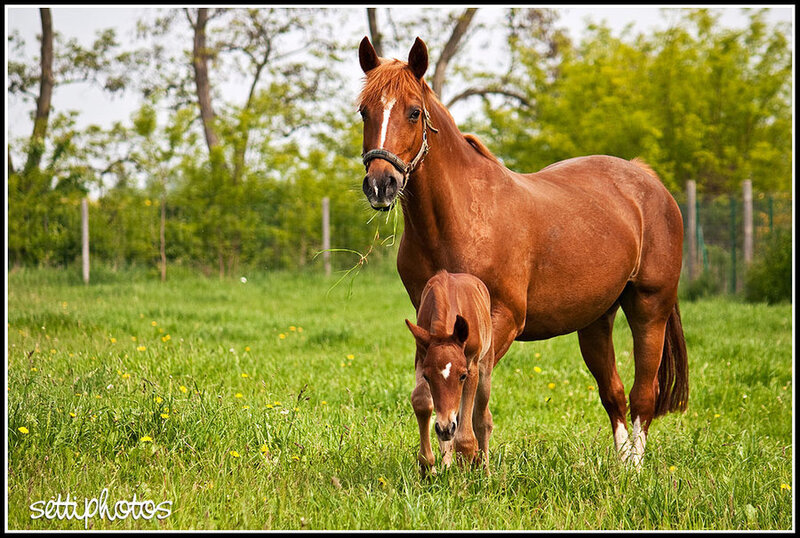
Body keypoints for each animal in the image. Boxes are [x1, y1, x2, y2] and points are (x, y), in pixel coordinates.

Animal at [405, 270, 493, 475]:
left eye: (462, 376)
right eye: (427, 377)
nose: (445, 428)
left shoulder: (471, 365)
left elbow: (466, 436)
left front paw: (463, 477)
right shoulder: (421, 358)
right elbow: (421, 401)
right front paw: (428, 467)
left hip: (486, 365)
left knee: (482, 419)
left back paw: (486, 471)